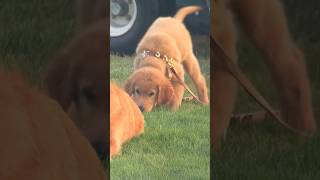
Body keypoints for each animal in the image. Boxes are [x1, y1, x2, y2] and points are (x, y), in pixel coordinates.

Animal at [211, 0, 316, 149]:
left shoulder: (221, 35)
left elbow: (218, 100)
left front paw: (213, 144)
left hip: (258, 16)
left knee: (290, 60)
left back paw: (303, 127)